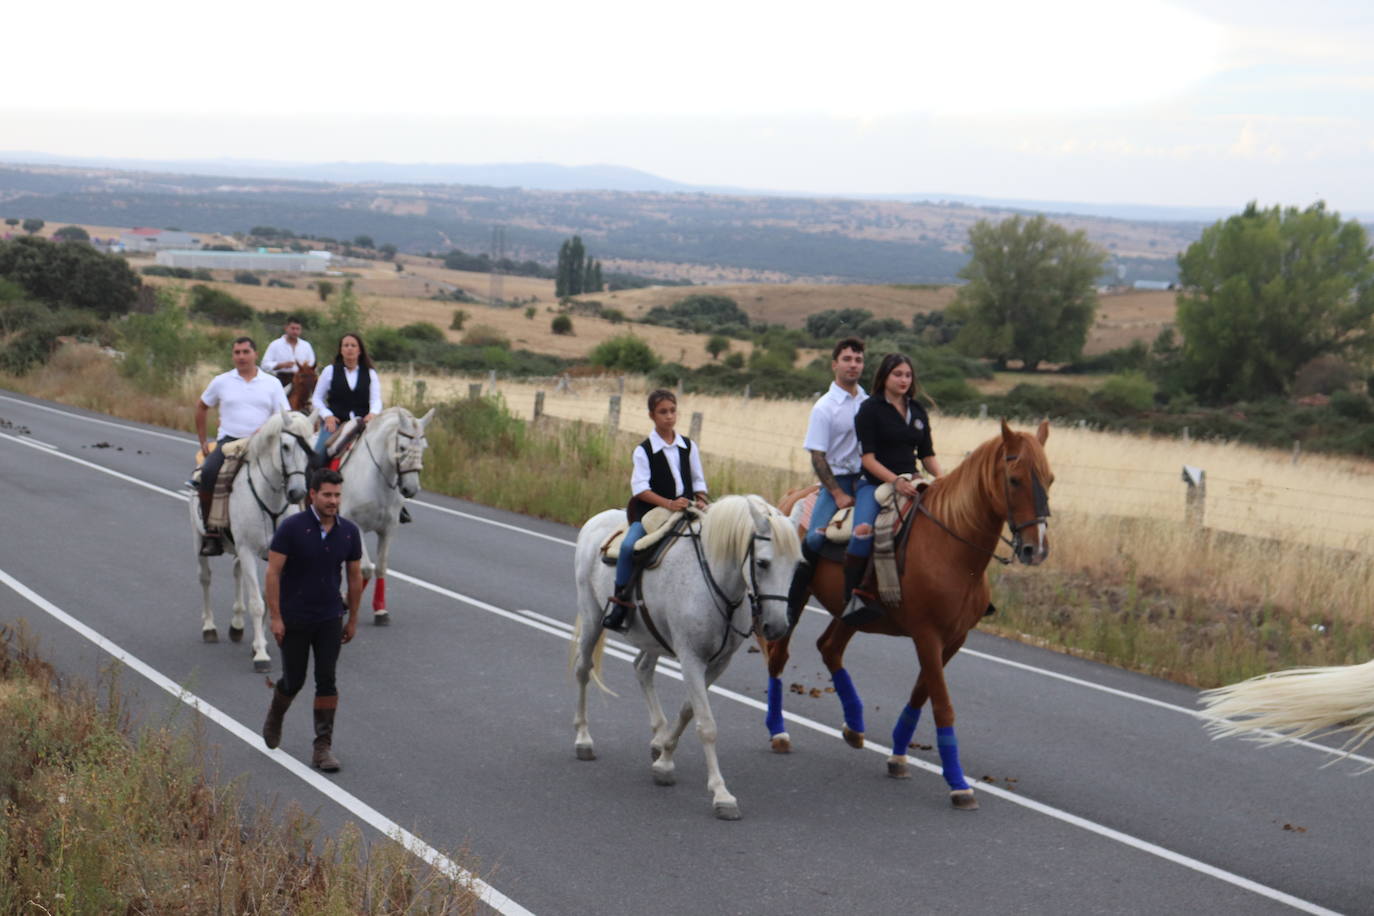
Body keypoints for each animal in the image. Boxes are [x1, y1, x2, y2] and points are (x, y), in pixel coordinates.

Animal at [188, 411, 314, 670]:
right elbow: (257, 603)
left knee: (237, 575)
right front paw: (261, 656)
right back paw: (209, 628)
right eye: (285, 446)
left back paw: (236, 626)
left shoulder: (274, 555)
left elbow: (267, 597)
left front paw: (259, 644)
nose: (297, 493)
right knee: (205, 578)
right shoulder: (247, 550)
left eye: (310, 448)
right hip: (199, 541)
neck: (271, 499)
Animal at [335, 406, 431, 626]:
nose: (411, 489)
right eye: (402, 447)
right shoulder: (356, 527)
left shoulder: (388, 530)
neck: (377, 478)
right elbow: (365, 569)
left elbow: (380, 567)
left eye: (424, 447)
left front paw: (379, 610)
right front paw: (347, 600)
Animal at [571, 497, 802, 818]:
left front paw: (664, 759)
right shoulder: (691, 658)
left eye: (796, 566)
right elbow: (706, 725)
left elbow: (688, 711)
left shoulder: (717, 663)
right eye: (762, 563)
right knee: (583, 670)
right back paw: (583, 740)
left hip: (652, 637)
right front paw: (721, 794)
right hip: (592, 617)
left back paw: (658, 737)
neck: (715, 582)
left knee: (642, 669)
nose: (778, 627)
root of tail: (596, 520)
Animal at [763, 420, 1049, 807]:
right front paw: (958, 783)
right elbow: (941, 703)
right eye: (1015, 479)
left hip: (854, 612)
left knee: (830, 648)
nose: (1037, 549)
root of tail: (791, 499)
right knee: (779, 657)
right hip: (794, 600)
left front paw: (898, 757)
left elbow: (921, 693)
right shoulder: (927, 635)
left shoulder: (953, 639)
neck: (951, 547)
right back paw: (779, 733)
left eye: (1050, 479)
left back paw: (854, 726)